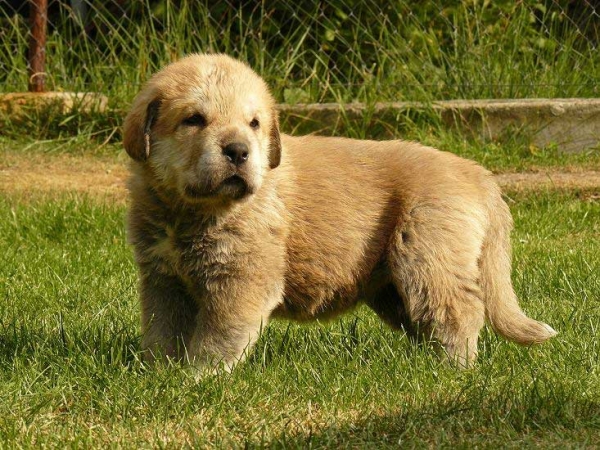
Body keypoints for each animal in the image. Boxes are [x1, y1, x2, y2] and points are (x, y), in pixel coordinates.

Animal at [123, 53, 556, 370]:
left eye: (254, 123)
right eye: (194, 120)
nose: (239, 150)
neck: (189, 212)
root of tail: (476, 172)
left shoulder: (242, 279)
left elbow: (218, 335)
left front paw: (199, 377)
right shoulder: (163, 279)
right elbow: (163, 329)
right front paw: (157, 372)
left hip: (427, 255)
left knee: (458, 309)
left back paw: (453, 368)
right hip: (391, 285)